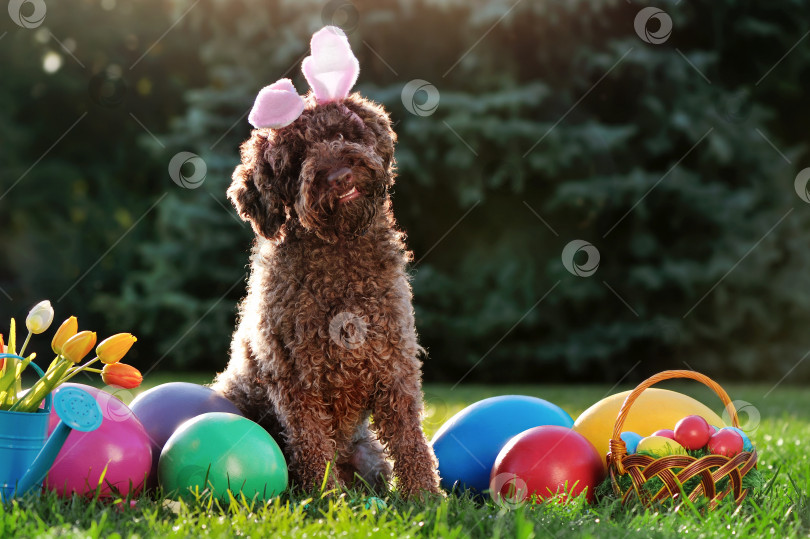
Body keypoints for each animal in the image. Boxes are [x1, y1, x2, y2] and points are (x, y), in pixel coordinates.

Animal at [213, 90, 442, 500]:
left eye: (339, 133)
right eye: (294, 158)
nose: (340, 176)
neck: (339, 252)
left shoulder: (394, 363)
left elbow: (409, 438)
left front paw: (425, 498)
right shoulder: (294, 379)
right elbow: (312, 445)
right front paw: (327, 500)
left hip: (369, 455)